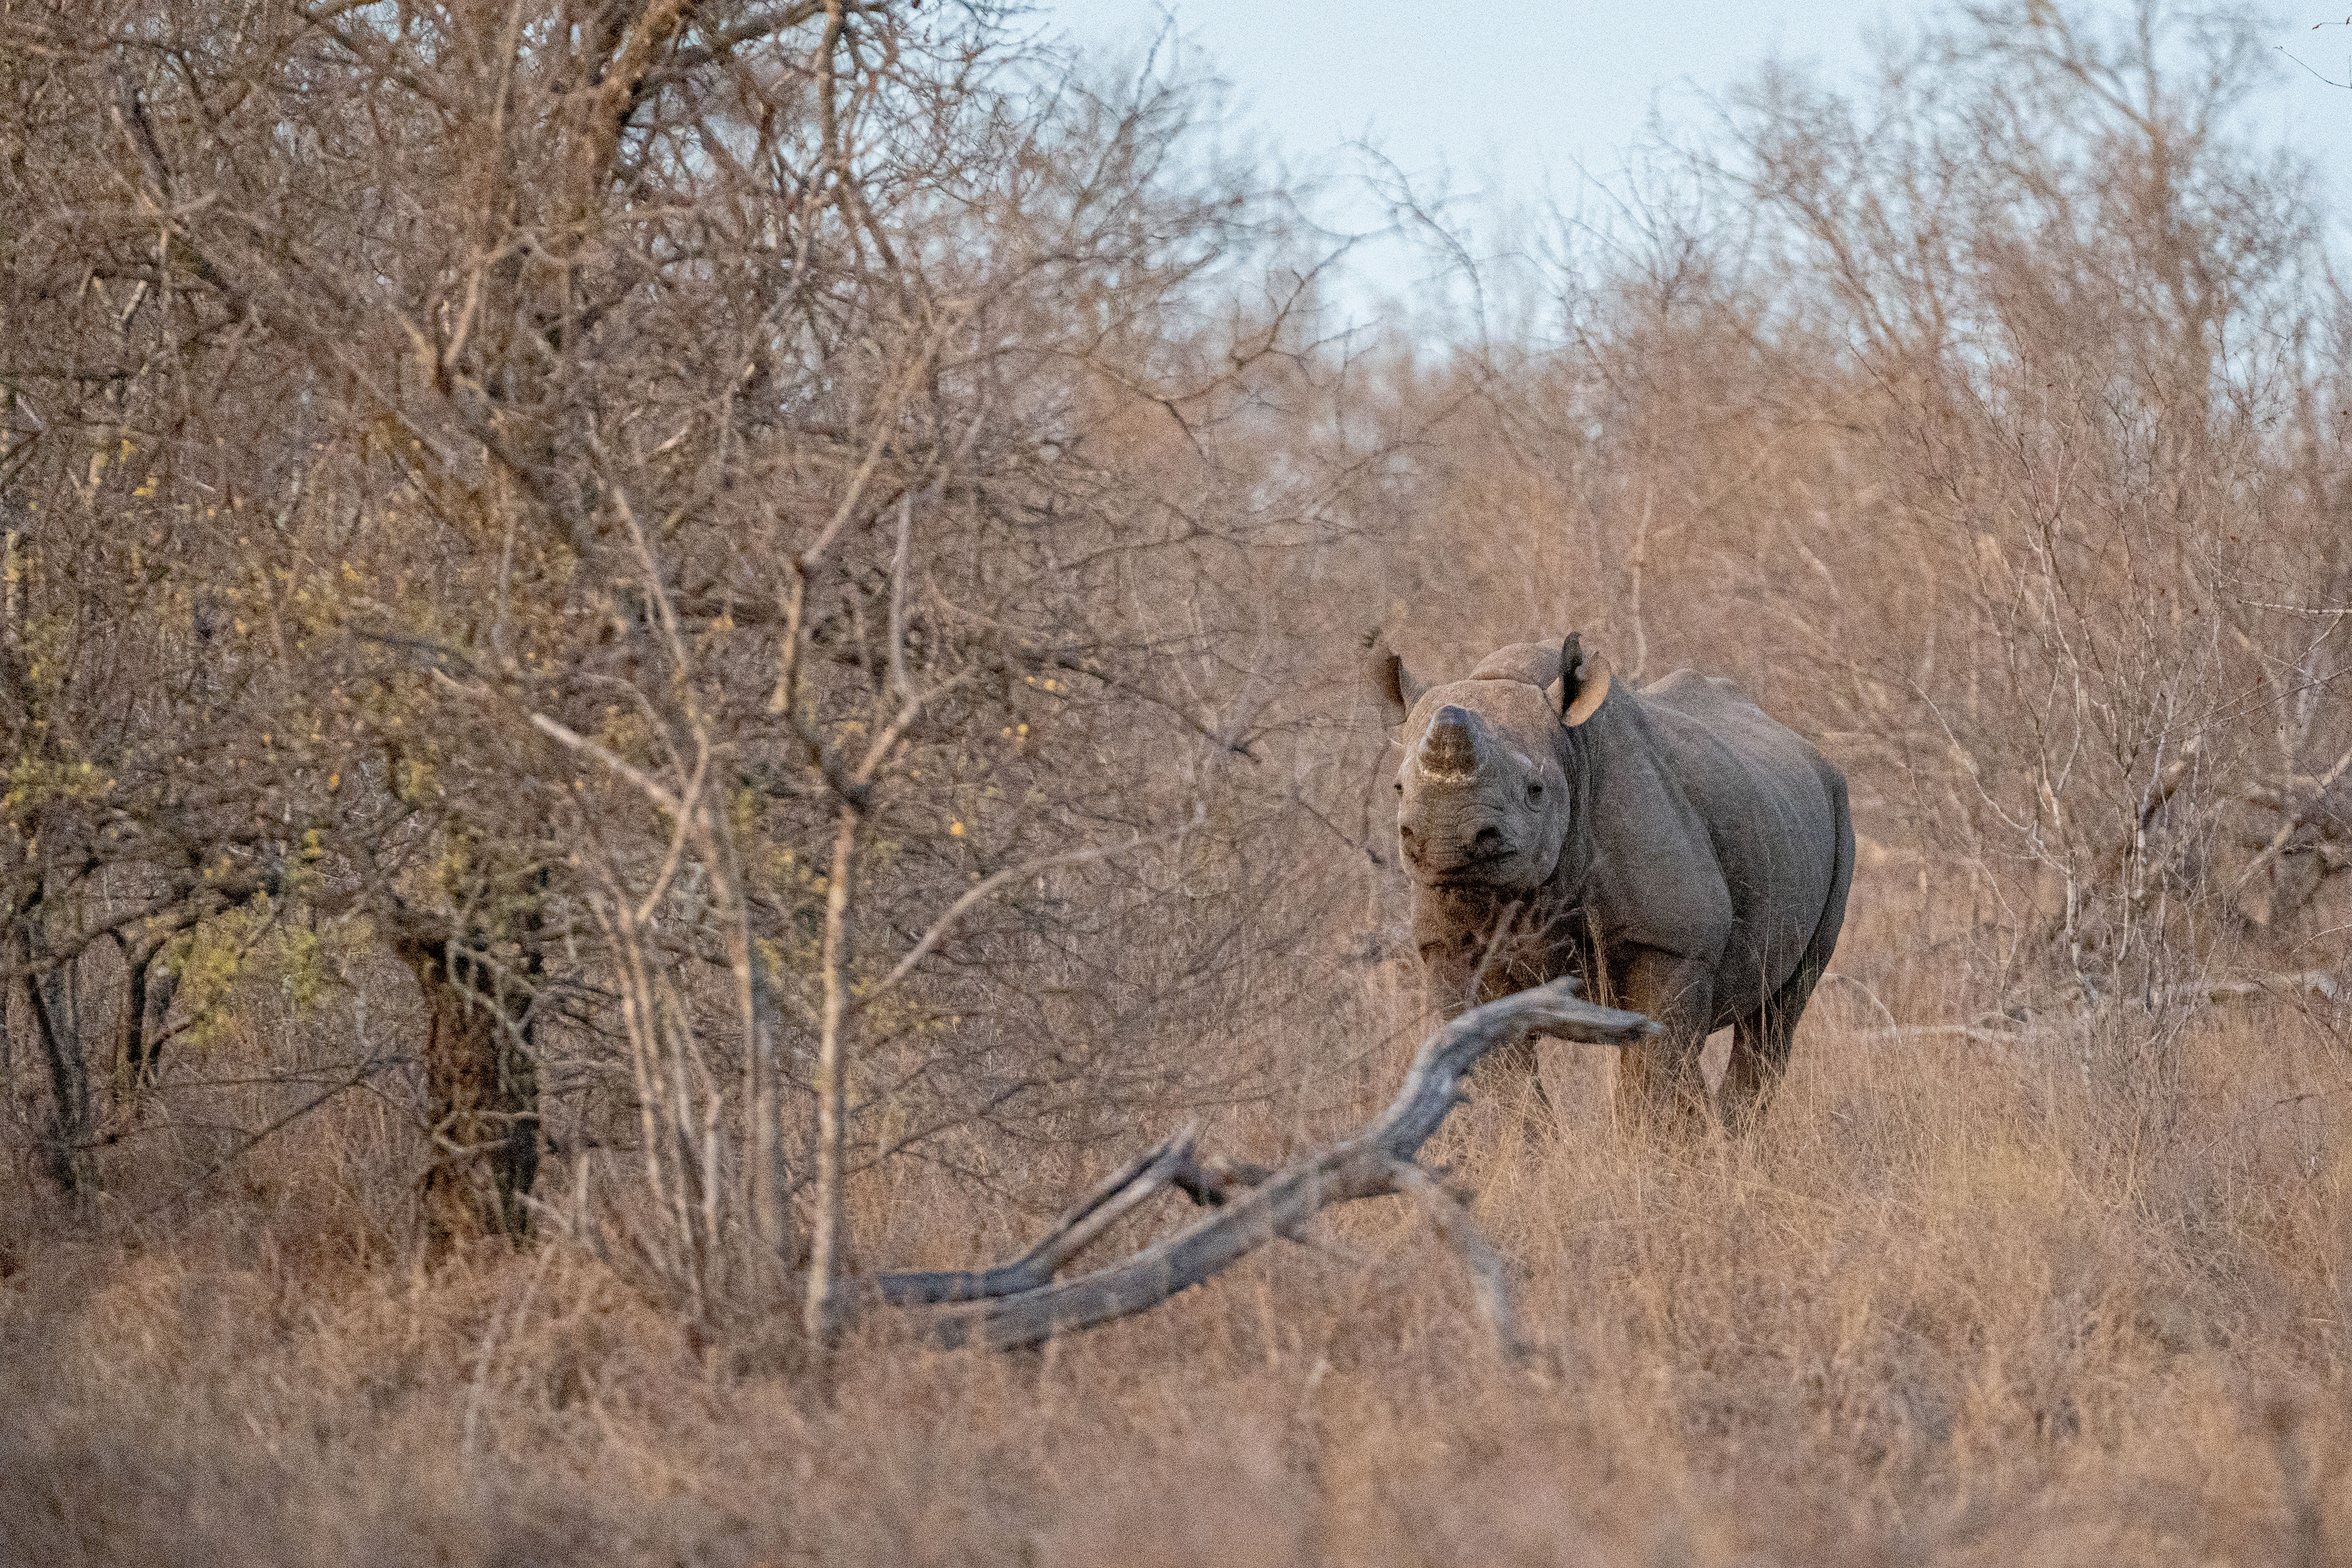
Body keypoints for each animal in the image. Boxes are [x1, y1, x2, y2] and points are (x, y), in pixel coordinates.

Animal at [1369, 633, 1853, 1132]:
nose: (1447, 841)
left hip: (1837, 807)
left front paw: (1649, 1149)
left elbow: (1653, 1070)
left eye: (1535, 791)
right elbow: (1500, 1077)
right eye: (1398, 789)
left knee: (1776, 1015)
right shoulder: (1450, 951)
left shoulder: (1672, 944)